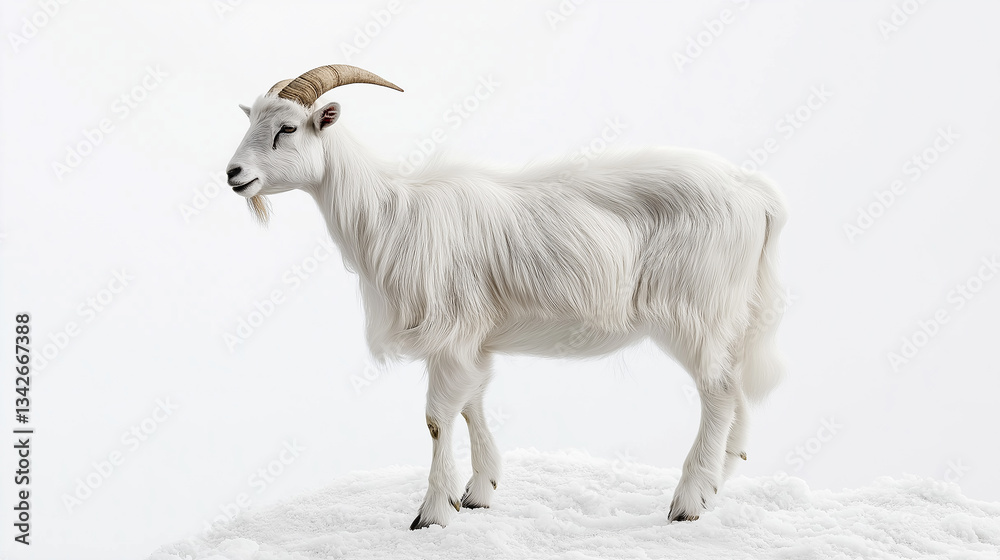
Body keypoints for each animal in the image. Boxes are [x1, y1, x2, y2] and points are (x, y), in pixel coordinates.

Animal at [225, 64, 788, 529]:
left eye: (287, 129)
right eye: (253, 123)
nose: (233, 174)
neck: (389, 213)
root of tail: (755, 192)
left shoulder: (450, 331)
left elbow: (437, 418)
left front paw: (431, 513)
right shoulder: (472, 338)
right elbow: (472, 403)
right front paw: (478, 492)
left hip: (695, 310)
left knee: (717, 391)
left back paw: (689, 501)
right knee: (734, 384)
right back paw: (720, 480)